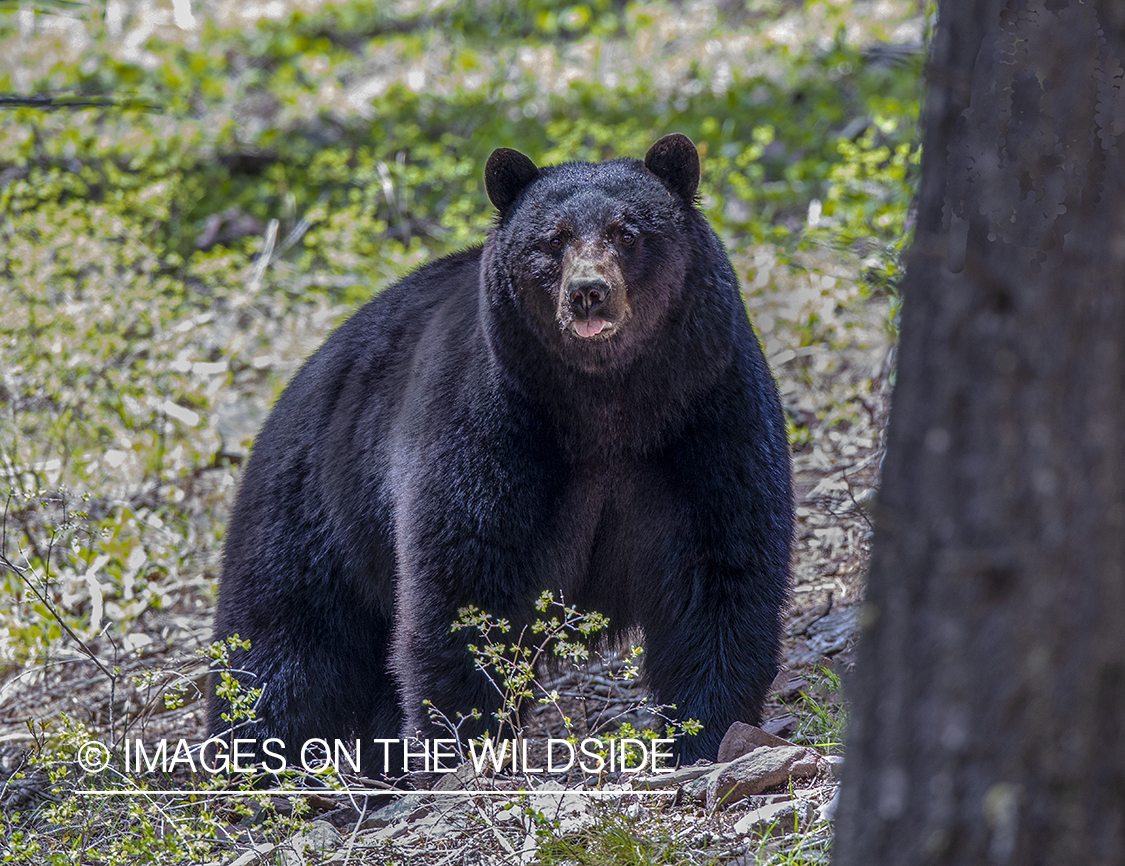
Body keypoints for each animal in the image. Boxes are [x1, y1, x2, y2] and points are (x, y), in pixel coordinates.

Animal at [209, 134, 792, 769]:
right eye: (554, 239)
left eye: (626, 231)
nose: (589, 293)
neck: (607, 405)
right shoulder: (494, 425)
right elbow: (467, 581)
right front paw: (461, 742)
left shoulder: (707, 412)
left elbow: (721, 570)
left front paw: (704, 733)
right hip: (314, 507)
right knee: (284, 643)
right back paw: (260, 754)